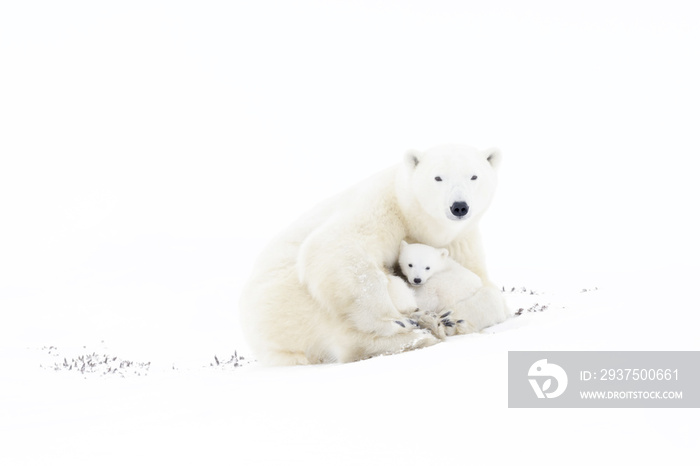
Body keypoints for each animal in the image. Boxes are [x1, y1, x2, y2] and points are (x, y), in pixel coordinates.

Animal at [241, 144, 508, 366]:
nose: (459, 206)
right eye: (438, 177)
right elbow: (335, 246)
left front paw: (453, 318)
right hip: (289, 304)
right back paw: (418, 334)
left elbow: (485, 285)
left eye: (474, 176)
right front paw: (393, 322)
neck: (416, 220)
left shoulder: (460, 240)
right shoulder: (382, 207)